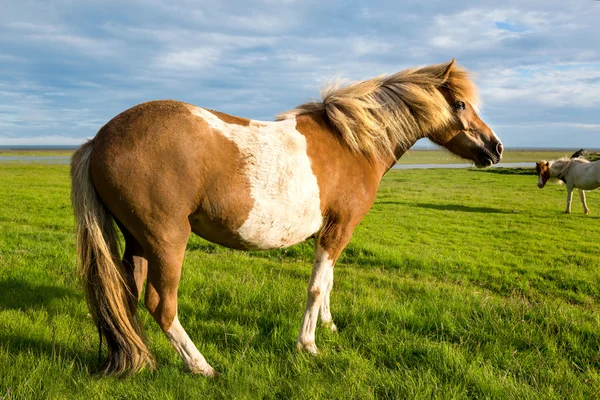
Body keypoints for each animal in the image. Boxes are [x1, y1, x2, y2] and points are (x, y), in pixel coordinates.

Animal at [69, 57, 502, 376]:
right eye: (460, 104)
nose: (496, 148)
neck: (352, 143)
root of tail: (99, 139)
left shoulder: (331, 234)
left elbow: (328, 282)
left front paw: (329, 326)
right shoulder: (338, 230)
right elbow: (316, 287)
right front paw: (308, 345)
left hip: (137, 241)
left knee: (126, 297)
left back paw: (139, 356)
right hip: (166, 240)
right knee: (161, 304)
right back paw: (202, 366)